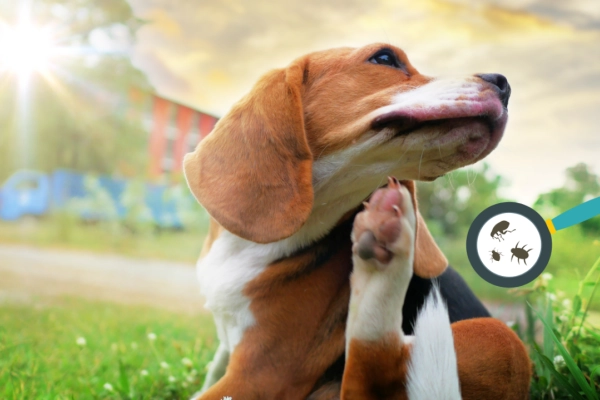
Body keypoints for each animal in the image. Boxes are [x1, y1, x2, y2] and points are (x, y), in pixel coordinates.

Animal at [184, 43, 528, 400]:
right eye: (385, 58)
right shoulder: (234, 356)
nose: (503, 84)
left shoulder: (261, 375)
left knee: (371, 377)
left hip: (499, 336)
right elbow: (212, 371)